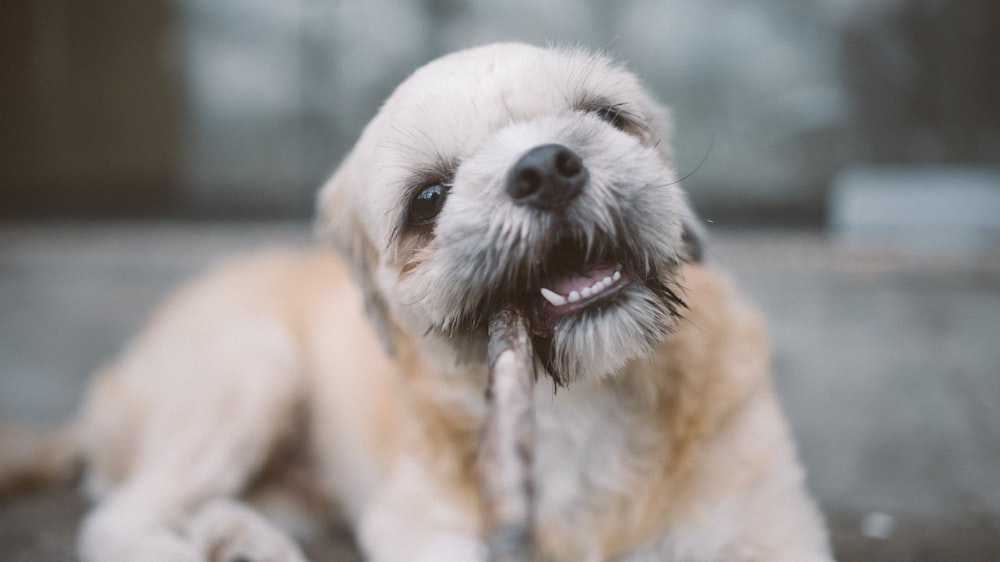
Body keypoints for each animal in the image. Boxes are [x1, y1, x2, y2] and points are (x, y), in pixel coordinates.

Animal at [0, 41, 832, 556]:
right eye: (429, 200)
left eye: (605, 116)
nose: (547, 167)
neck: (576, 414)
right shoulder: (420, 527)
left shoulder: (767, 526)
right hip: (251, 368)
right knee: (119, 518)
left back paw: (242, 541)